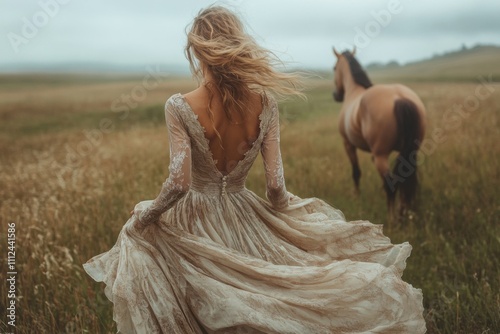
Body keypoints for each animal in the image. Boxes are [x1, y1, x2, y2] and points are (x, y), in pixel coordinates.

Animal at [332, 47, 426, 219]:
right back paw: (405, 211)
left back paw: (392, 218)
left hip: (381, 156)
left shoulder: (348, 144)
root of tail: (399, 98)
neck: (354, 91)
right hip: (410, 153)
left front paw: (357, 197)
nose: (336, 95)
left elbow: (356, 172)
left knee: (391, 183)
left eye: (334, 68)